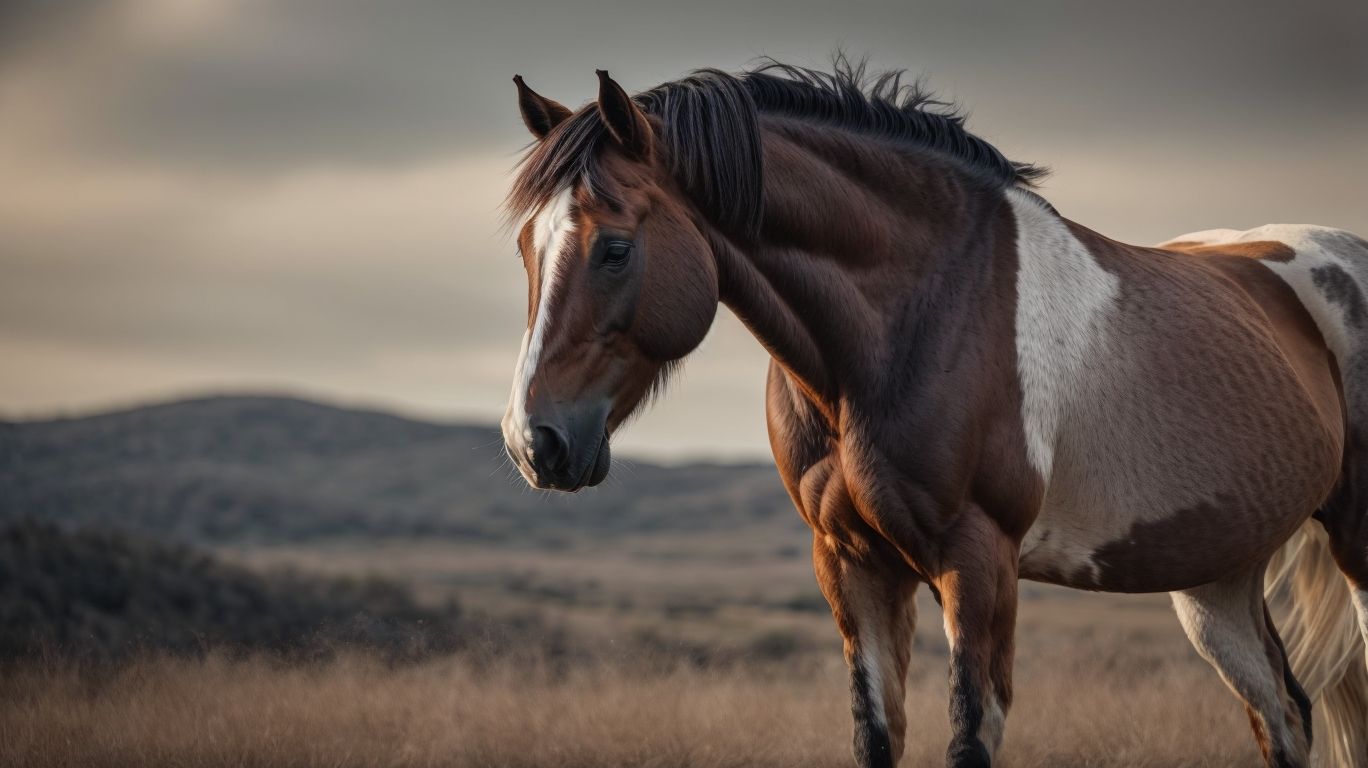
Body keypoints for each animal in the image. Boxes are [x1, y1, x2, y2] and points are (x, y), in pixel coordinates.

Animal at [496, 60, 1368, 768]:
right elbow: (876, 734)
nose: (533, 442)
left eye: (614, 248)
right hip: (1215, 577)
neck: (912, 317)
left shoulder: (977, 561)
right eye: (525, 251)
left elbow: (969, 737)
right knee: (1284, 712)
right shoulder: (851, 562)